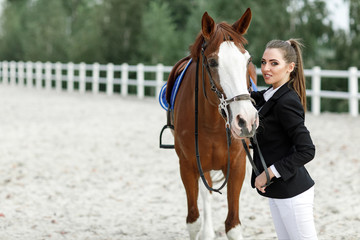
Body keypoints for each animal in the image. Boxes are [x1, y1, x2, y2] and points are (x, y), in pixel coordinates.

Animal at [163, 7, 258, 240]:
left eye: (248, 60)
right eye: (213, 62)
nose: (246, 120)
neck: (213, 124)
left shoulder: (238, 166)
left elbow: (233, 226)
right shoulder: (188, 166)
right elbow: (193, 221)